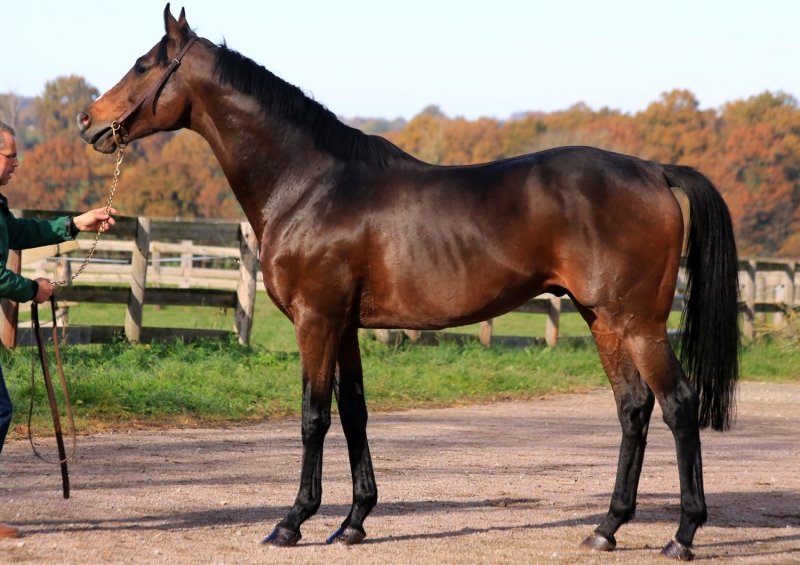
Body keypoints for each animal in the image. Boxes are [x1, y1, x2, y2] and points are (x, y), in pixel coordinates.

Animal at [77, 5, 740, 560]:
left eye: (143, 65)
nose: (87, 120)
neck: (310, 185)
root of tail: (653, 170)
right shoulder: (344, 326)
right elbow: (354, 413)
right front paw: (353, 522)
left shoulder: (316, 321)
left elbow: (312, 417)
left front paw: (293, 522)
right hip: (600, 318)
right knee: (633, 409)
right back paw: (606, 528)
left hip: (638, 322)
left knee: (678, 407)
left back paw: (682, 535)